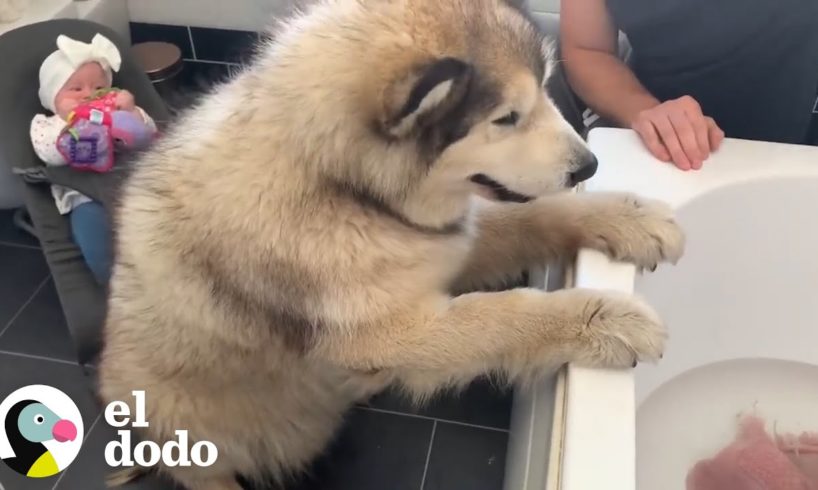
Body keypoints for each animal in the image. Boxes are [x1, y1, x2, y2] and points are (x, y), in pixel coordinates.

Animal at [94, 0, 684, 490]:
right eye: (507, 118)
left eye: (544, 91)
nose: (590, 165)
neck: (344, 187)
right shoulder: (386, 327)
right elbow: (500, 316)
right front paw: (602, 319)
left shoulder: (444, 241)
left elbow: (541, 216)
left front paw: (624, 217)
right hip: (182, 425)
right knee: (203, 472)